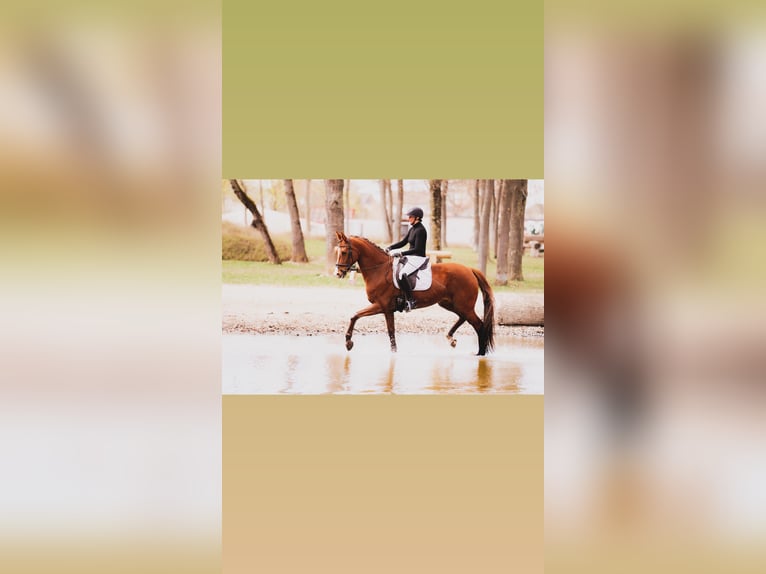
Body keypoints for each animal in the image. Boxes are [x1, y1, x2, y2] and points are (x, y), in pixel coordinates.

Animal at [333, 231, 495, 355]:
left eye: (344, 252)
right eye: (338, 252)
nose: (338, 273)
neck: (379, 270)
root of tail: (470, 270)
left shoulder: (383, 306)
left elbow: (360, 317)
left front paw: (348, 342)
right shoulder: (386, 308)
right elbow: (381, 327)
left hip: (463, 305)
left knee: (479, 325)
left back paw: (480, 353)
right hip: (450, 304)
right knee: (463, 318)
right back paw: (451, 338)